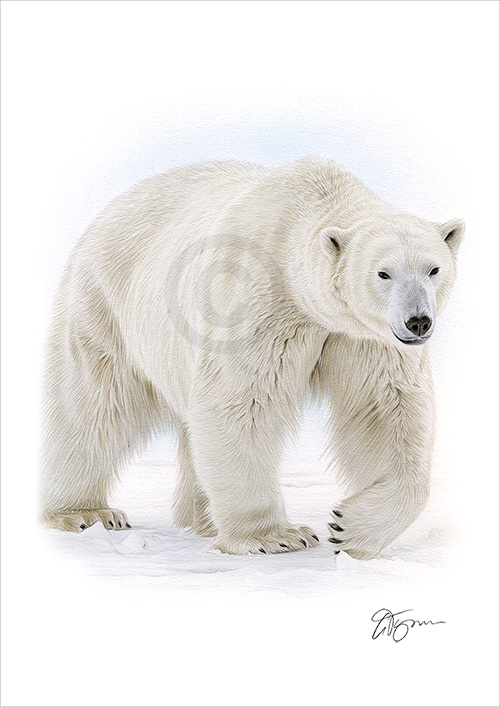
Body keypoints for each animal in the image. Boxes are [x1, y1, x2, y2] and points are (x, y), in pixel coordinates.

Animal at [40, 157, 464, 559]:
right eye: (382, 273)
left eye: (434, 269)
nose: (418, 321)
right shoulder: (257, 304)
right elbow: (243, 405)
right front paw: (275, 537)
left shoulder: (364, 336)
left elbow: (386, 411)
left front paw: (351, 528)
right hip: (104, 303)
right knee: (95, 405)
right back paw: (85, 512)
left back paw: (202, 519)